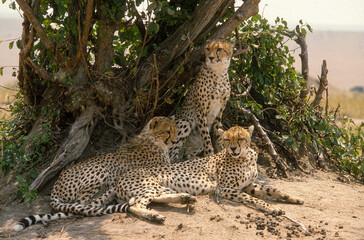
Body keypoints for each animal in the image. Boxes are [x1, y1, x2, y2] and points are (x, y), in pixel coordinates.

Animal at [13, 116, 178, 231]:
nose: (175, 141)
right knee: (82, 202)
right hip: (102, 169)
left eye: (176, 130)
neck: (153, 141)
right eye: (168, 131)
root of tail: (57, 184)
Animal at [27, 125, 302, 225]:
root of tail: (121, 177)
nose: (233, 148)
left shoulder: (247, 186)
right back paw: (155, 216)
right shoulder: (228, 190)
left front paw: (292, 199)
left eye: (241, 138)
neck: (244, 157)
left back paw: (185, 199)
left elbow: (273, 190)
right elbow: (256, 200)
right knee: (134, 205)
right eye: (227, 140)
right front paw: (273, 209)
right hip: (146, 185)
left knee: (153, 199)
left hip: (160, 187)